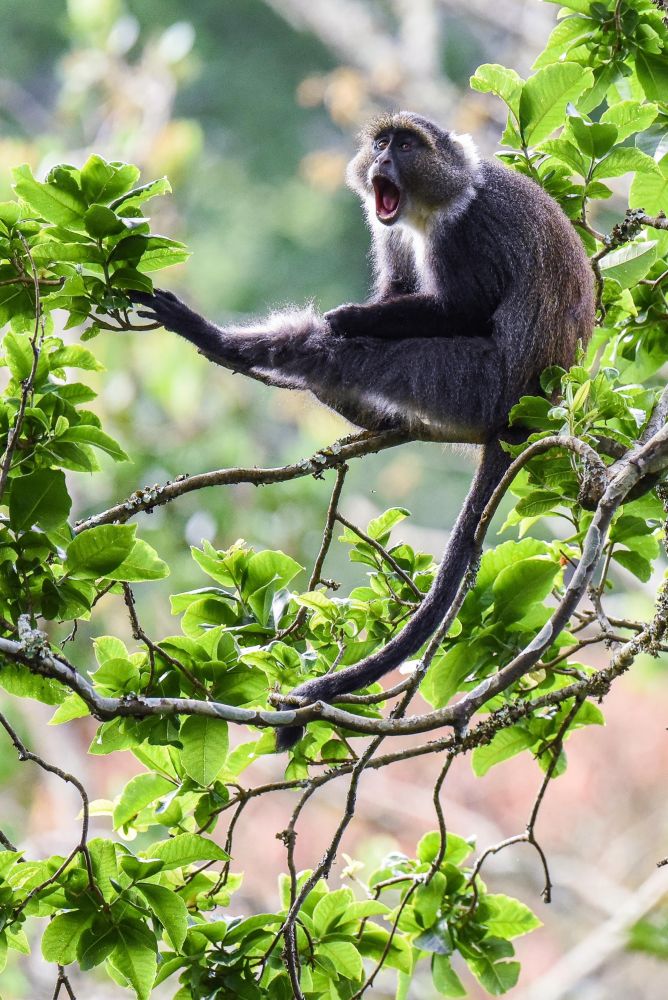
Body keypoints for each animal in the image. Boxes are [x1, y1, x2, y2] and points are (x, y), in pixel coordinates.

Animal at [132, 111, 596, 752]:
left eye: (405, 144)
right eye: (380, 142)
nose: (382, 160)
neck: (431, 206)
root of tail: (523, 415)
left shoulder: (469, 232)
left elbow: (466, 310)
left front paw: (350, 316)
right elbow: (399, 289)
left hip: (471, 382)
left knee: (353, 352)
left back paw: (241, 344)